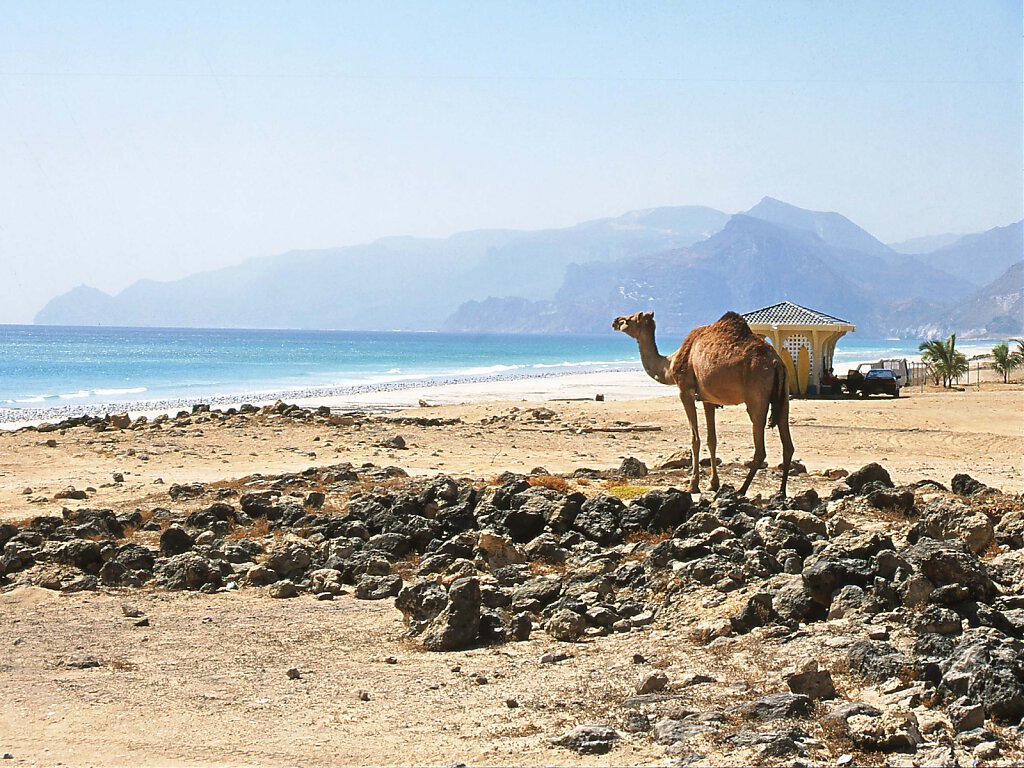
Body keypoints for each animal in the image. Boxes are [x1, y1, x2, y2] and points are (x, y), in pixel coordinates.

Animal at [610, 313, 794, 499]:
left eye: (629, 319)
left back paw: (741, 490)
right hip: (784, 397)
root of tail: (776, 362)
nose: (615, 321)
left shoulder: (685, 391)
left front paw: (693, 485)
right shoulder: (708, 399)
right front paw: (713, 484)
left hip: (757, 398)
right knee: (788, 445)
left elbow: (695, 439)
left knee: (760, 448)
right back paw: (781, 492)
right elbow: (711, 440)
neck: (670, 365)